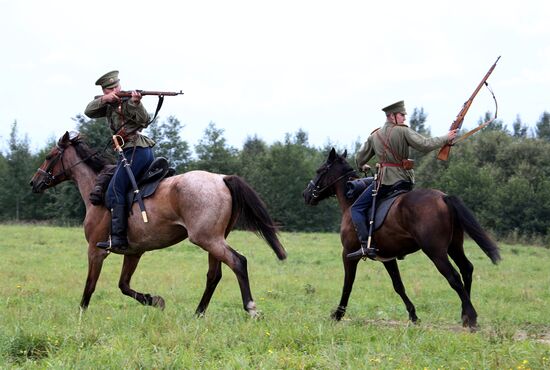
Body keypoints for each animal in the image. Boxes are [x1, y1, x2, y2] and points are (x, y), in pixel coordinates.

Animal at [29, 132, 288, 316]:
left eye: (50, 156)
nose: (34, 182)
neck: (97, 189)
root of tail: (222, 178)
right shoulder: (133, 252)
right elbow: (124, 285)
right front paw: (154, 300)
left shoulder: (96, 250)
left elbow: (90, 285)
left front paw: (80, 314)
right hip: (213, 240)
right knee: (214, 275)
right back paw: (198, 313)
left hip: (208, 239)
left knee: (238, 262)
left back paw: (250, 308)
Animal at [304, 147, 502, 326]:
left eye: (320, 171)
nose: (306, 194)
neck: (352, 199)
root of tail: (443, 197)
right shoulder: (387, 258)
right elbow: (398, 285)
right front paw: (413, 315)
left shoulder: (348, 254)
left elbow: (348, 284)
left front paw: (338, 314)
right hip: (454, 246)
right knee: (466, 269)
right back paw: (465, 315)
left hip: (436, 251)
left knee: (454, 277)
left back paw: (471, 316)